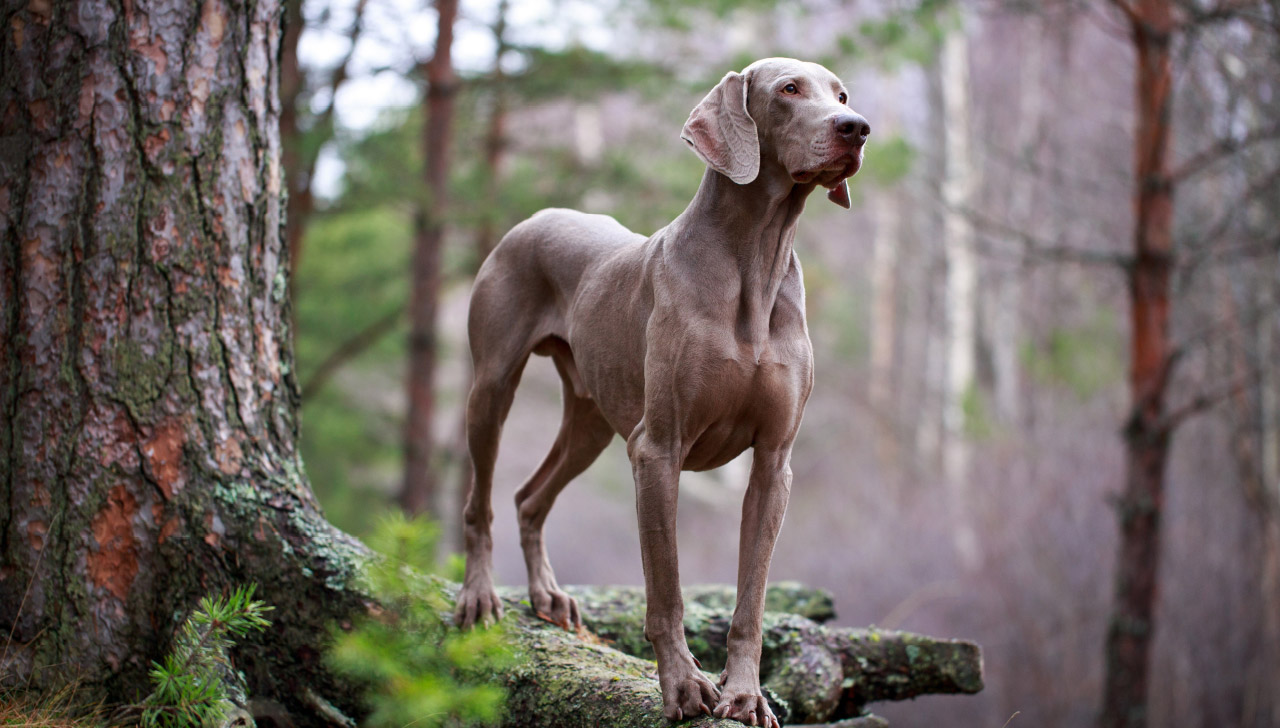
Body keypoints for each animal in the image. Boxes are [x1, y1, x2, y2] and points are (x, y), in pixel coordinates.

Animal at [455, 58, 865, 726]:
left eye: (842, 93)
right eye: (789, 89)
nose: (856, 128)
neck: (755, 261)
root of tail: (536, 216)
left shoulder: (773, 464)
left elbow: (751, 598)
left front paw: (744, 694)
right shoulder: (657, 449)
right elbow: (665, 590)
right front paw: (684, 687)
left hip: (591, 421)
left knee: (528, 497)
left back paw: (547, 595)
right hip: (491, 387)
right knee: (481, 501)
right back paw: (480, 596)